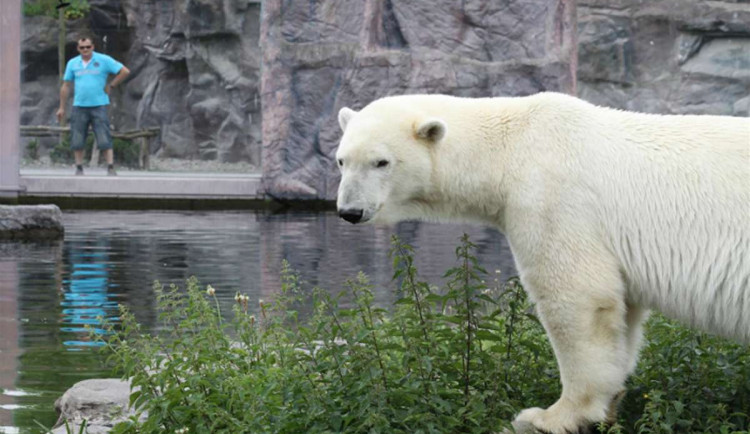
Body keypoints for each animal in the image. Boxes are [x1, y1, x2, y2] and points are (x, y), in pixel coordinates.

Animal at [334, 94, 750, 434]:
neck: (509, 145)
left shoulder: (550, 196)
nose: (349, 211)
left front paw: (549, 416)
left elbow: (578, 295)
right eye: (341, 160)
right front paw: (609, 404)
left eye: (381, 162)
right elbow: (622, 311)